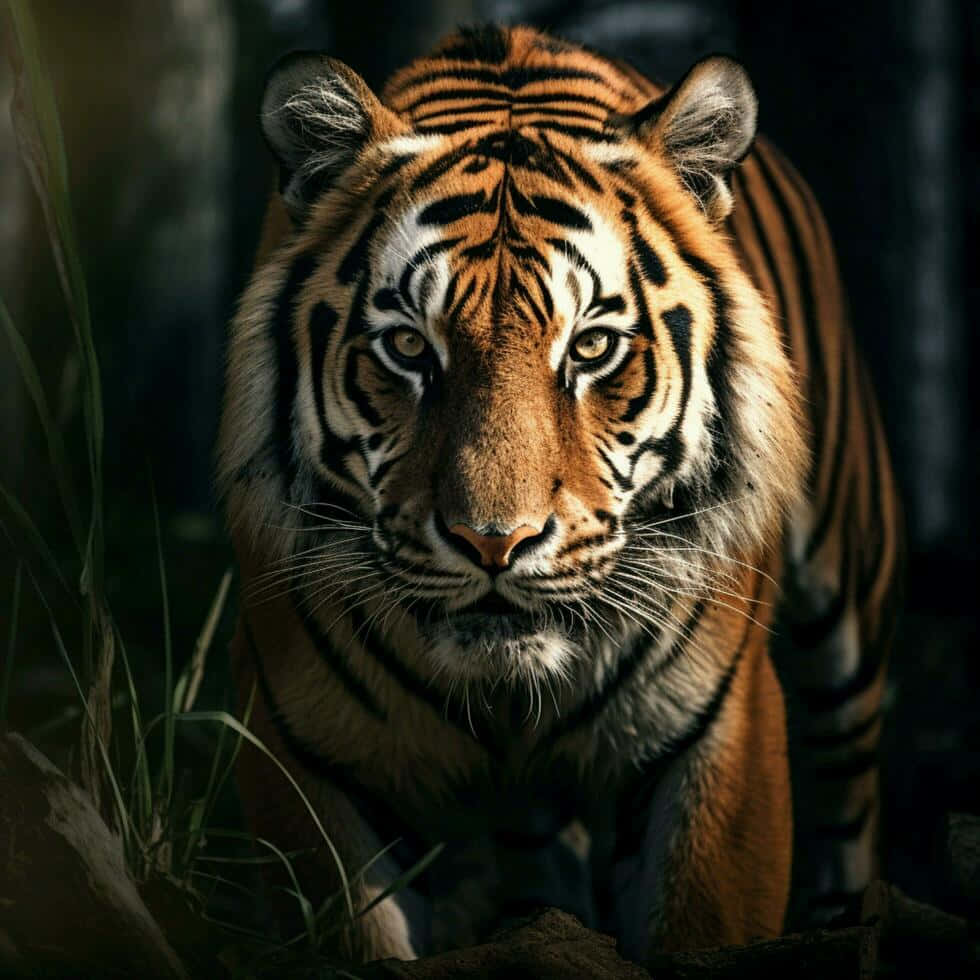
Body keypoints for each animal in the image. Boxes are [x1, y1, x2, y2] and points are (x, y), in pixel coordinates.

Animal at [217, 24, 902, 964]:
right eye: (408, 346)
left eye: (591, 348)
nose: (494, 543)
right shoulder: (302, 749)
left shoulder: (720, 732)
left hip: (844, 616)